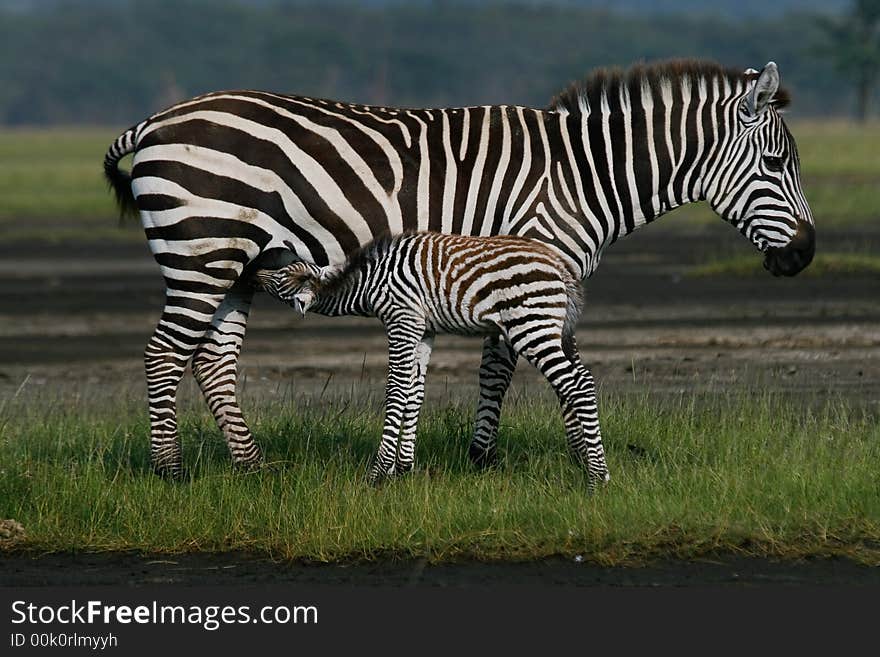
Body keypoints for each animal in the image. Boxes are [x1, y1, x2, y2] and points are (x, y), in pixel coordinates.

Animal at [256, 233, 612, 484]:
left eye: (278, 276)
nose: (252, 269)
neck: (369, 281)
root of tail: (560, 267)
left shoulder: (402, 319)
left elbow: (395, 390)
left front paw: (377, 473)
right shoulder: (423, 330)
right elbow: (414, 392)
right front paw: (403, 469)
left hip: (531, 326)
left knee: (576, 386)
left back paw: (597, 478)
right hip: (553, 328)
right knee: (583, 381)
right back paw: (597, 469)